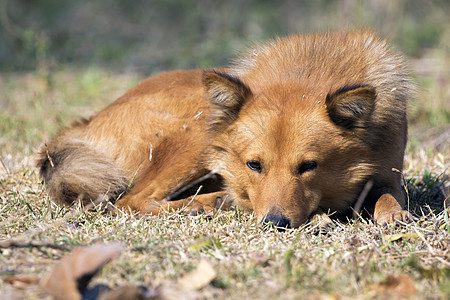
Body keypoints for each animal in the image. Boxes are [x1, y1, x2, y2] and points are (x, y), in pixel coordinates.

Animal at [37, 30, 414, 227]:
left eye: (309, 166)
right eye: (254, 165)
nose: (274, 224)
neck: (309, 71)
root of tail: (85, 123)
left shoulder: (388, 174)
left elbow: (388, 196)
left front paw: (393, 215)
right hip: (196, 133)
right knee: (131, 201)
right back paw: (210, 202)